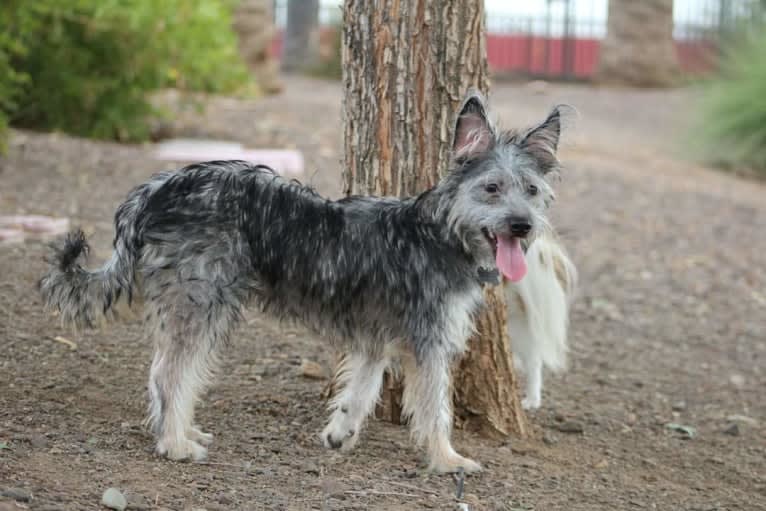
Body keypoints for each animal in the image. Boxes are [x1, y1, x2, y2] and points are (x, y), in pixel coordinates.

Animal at [40, 90, 564, 474]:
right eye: (492, 188)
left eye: (531, 190)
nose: (522, 226)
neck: (439, 232)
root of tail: (155, 189)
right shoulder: (429, 342)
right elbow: (436, 407)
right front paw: (447, 458)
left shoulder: (376, 337)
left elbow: (361, 390)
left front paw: (341, 433)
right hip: (202, 300)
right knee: (169, 372)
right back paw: (174, 444)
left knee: (163, 372)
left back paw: (181, 431)